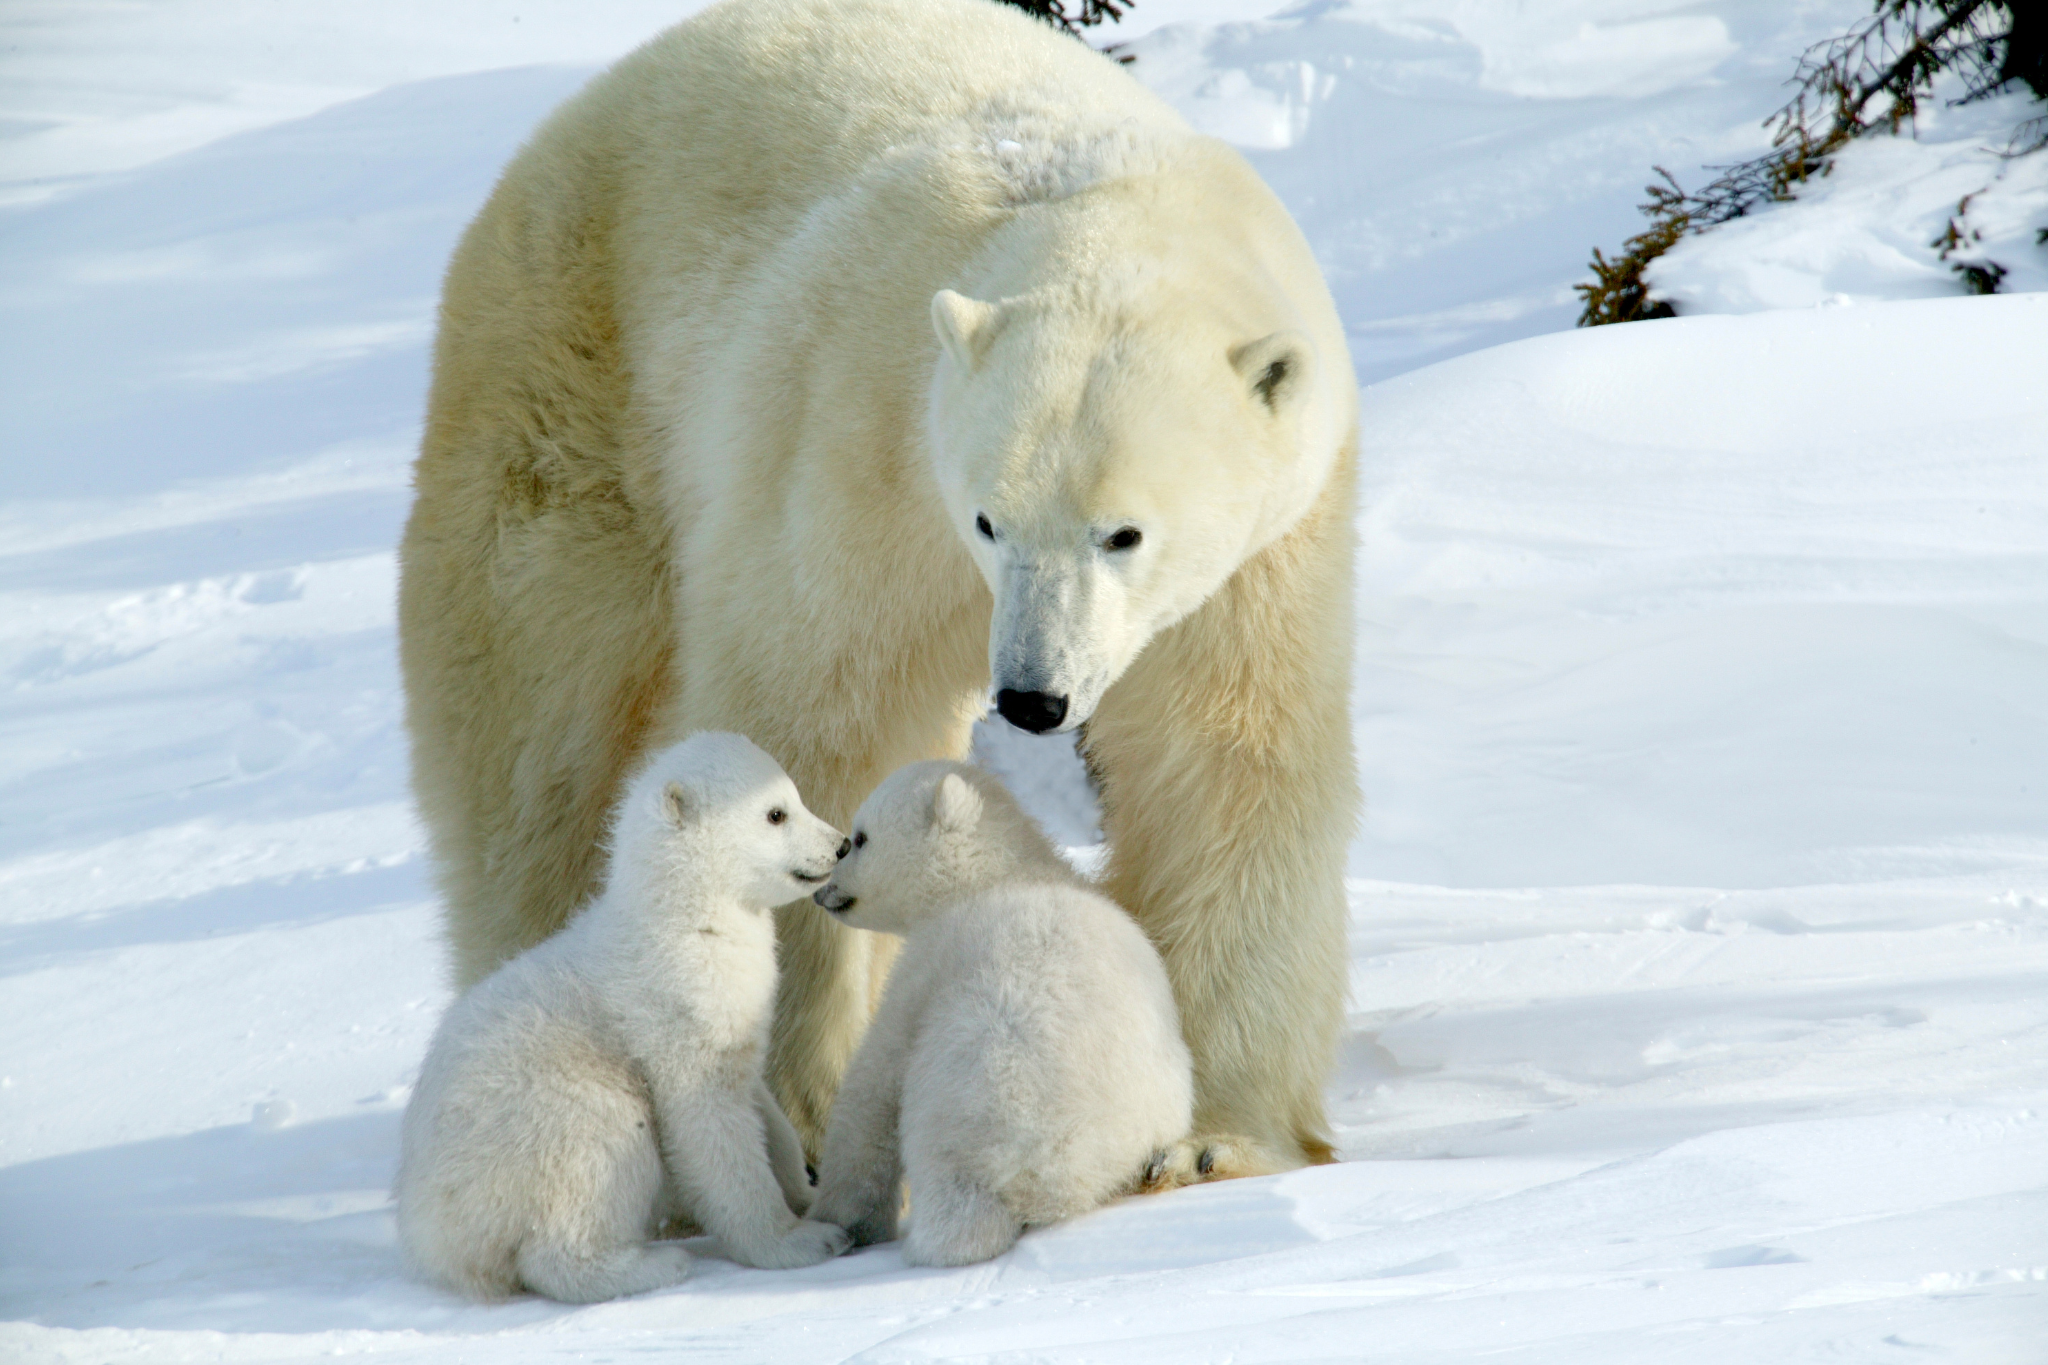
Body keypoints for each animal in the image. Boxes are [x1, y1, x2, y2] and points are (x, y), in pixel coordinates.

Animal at [391, 736, 847, 1301]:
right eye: (776, 813)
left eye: (793, 796)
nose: (841, 844)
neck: (685, 920)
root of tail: (431, 1235)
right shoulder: (674, 1010)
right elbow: (707, 1125)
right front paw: (800, 1240)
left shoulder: (733, 1014)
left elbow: (761, 1104)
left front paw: (806, 1187)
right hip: (541, 1121)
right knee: (595, 1158)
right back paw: (652, 1265)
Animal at [399, 0, 1359, 1178]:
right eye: (990, 518)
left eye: (1122, 533)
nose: (1032, 698)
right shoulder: (862, 443)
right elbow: (815, 717)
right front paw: (804, 1110)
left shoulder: (1261, 555)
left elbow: (1222, 760)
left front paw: (1214, 1137)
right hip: (570, 383)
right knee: (539, 738)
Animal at [811, 765, 1196, 1268]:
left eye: (858, 839)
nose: (822, 891)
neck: (1000, 873)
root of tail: (1055, 1181)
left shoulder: (933, 958)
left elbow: (874, 1084)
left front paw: (844, 1220)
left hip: (971, 1099)